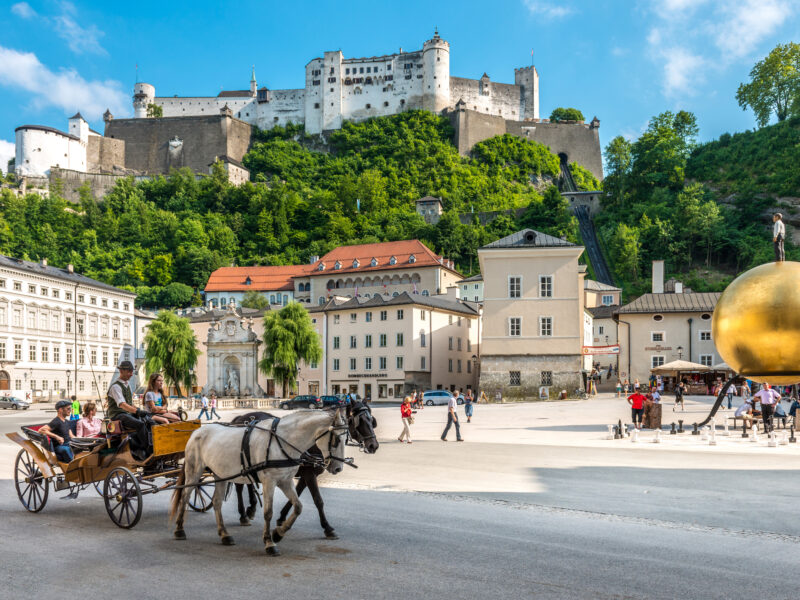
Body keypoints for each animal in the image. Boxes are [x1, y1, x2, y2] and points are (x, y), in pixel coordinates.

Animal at [169, 410, 346, 556]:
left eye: (346, 438)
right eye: (337, 439)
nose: (338, 468)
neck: (283, 441)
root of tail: (197, 432)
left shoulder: (285, 480)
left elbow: (298, 507)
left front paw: (278, 533)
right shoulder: (270, 481)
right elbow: (268, 512)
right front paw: (269, 542)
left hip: (220, 474)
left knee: (217, 502)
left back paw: (224, 534)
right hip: (194, 471)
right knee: (185, 496)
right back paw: (179, 529)